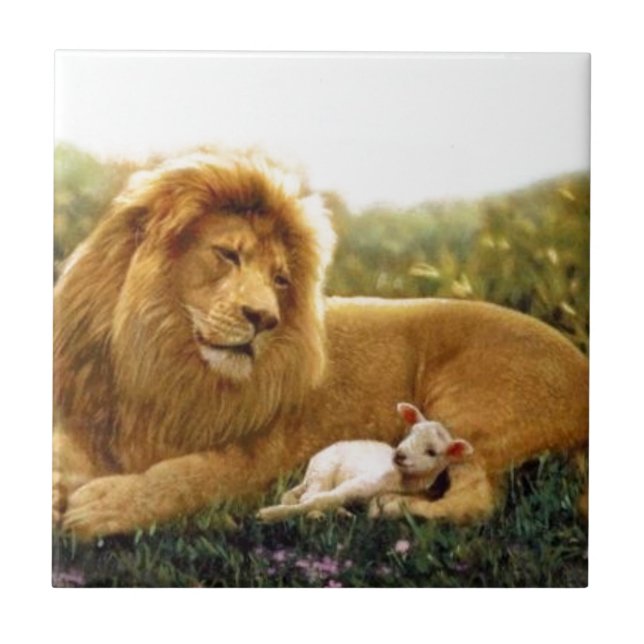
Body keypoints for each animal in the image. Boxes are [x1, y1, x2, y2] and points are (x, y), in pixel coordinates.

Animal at [53, 150, 588, 539]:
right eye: (227, 254)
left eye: (281, 279)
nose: (264, 319)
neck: (163, 360)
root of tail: (582, 363)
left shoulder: (261, 458)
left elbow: (189, 476)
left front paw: (101, 507)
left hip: (470, 410)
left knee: (475, 498)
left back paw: (389, 506)